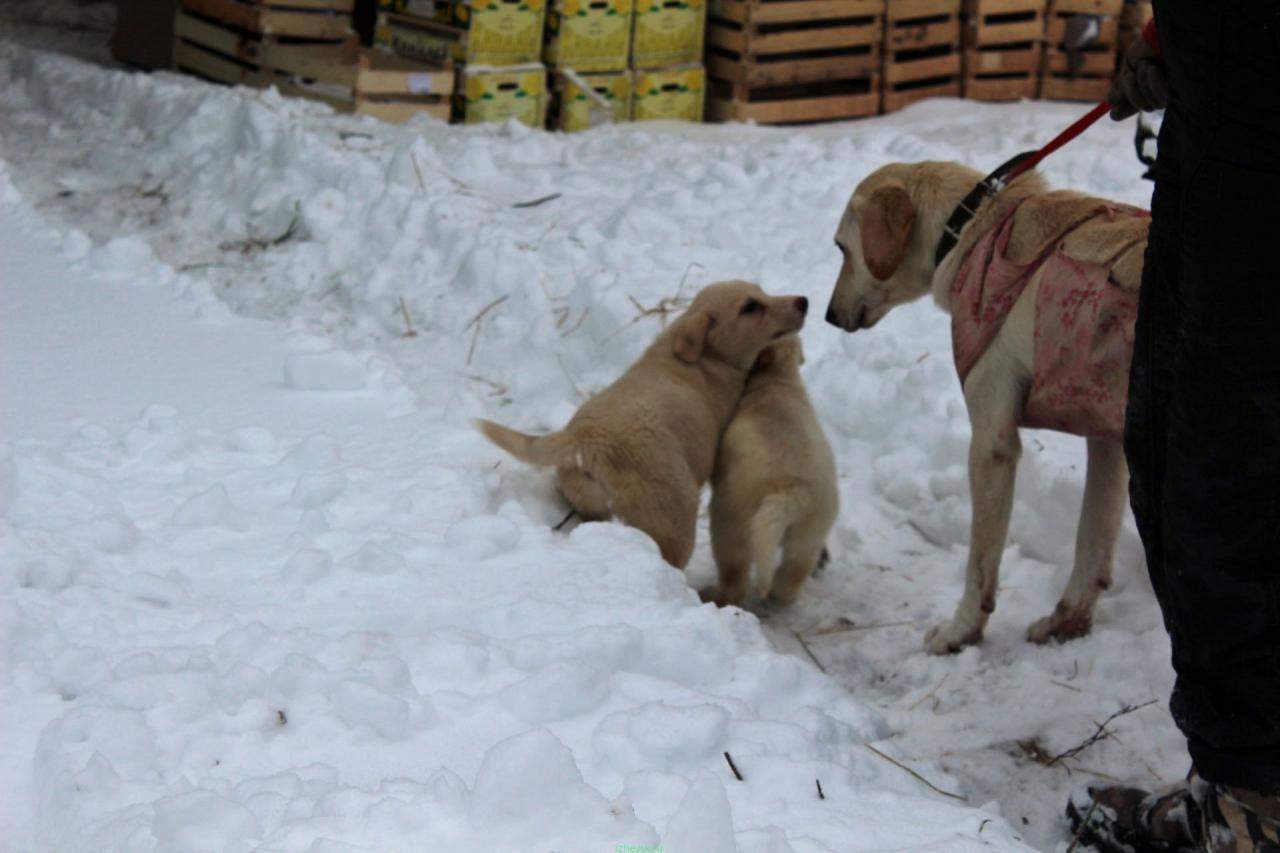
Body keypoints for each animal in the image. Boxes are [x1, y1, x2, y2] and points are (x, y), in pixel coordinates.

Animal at [477, 280, 809, 568]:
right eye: (750, 307)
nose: (803, 301)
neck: (707, 357)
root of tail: (585, 440)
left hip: (590, 504)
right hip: (672, 516)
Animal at [702, 337, 839, 609]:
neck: (778, 379)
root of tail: (791, 495)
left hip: (733, 513)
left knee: (733, 566)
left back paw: (713, 595)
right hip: (813, 525)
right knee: (795, 568)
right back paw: (779, 593)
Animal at [825, 162, 1148, 653]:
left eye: (843, 248)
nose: (826, 315)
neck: (973, 227)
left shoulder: (992, 442)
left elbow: (980, 564)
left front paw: (960, 632)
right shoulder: (1106, 440)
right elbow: (1092, 542)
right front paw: (1067, 622)